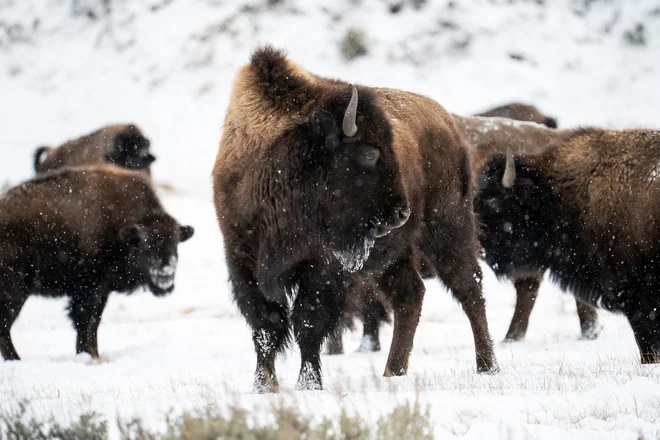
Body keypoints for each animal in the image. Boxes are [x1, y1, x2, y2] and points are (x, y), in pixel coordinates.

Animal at [0, 165, 195, 360]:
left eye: (176, 243)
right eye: (146, 244)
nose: (166, 272)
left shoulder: (102, 291)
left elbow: (94, 322)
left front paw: (92, 354)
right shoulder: (89, 289)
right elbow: (85, 321)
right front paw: (90, 356)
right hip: (16, 291)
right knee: (5, 325)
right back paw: (16, 359)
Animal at [214, 47, 498, 392]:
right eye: (369, 154)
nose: (401, 212)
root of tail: (447, 122)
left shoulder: (321, 267)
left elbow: (308, 324)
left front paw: (309, 384)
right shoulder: (243, 262)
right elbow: (265, 327)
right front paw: (263, 386)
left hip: (446, 229)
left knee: (470, 289)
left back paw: (487, 366)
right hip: (396, 253)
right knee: (410, 295)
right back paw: (393, 370)